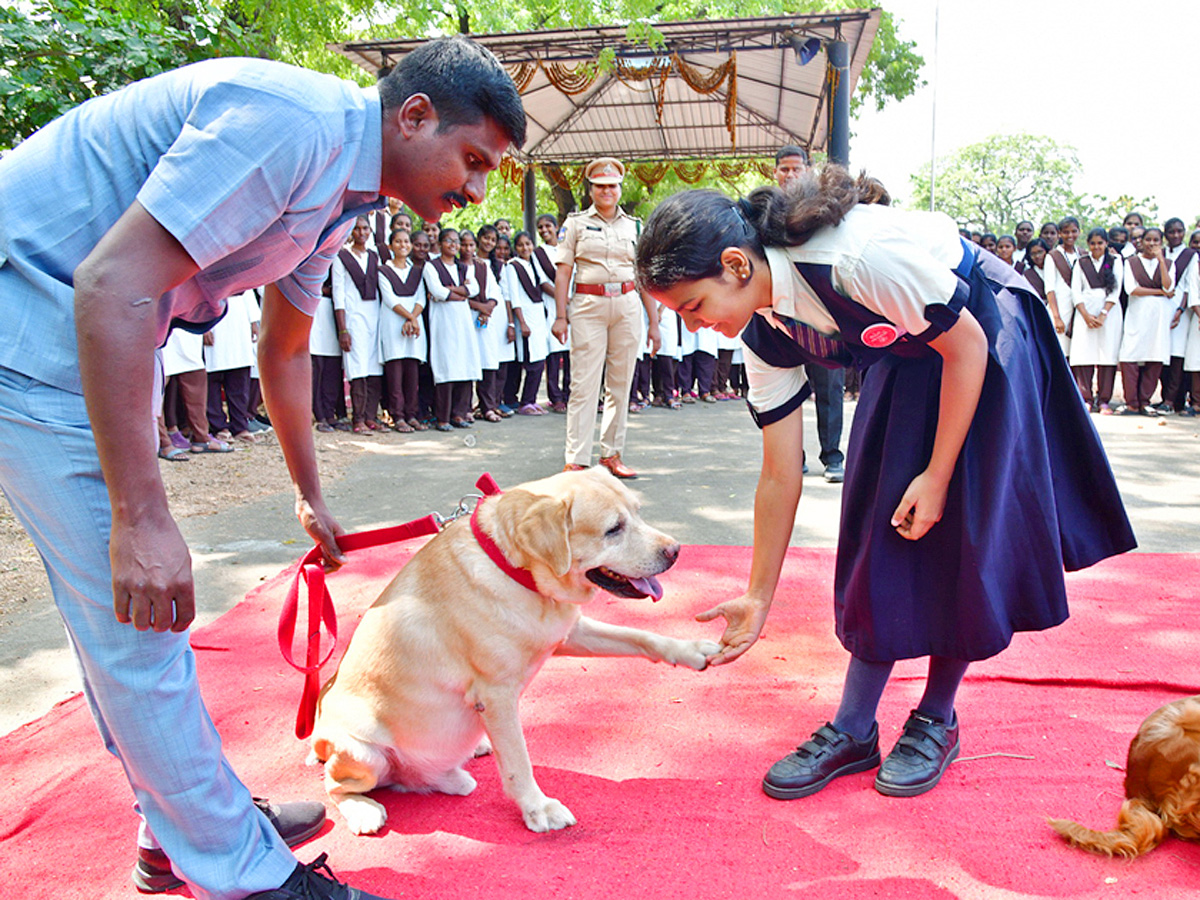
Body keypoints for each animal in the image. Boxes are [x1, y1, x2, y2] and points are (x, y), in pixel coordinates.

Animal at [314, 468, 715, 835]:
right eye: (613, 529)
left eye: (637, 512)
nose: (675, 551)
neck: (517, 570)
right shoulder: (496, 695)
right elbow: (518, 762)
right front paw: (539, 808)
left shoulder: (569, 632)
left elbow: (637, 636)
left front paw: (690, 650)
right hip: (361, 750)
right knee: (336, 786)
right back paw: (363, 810)